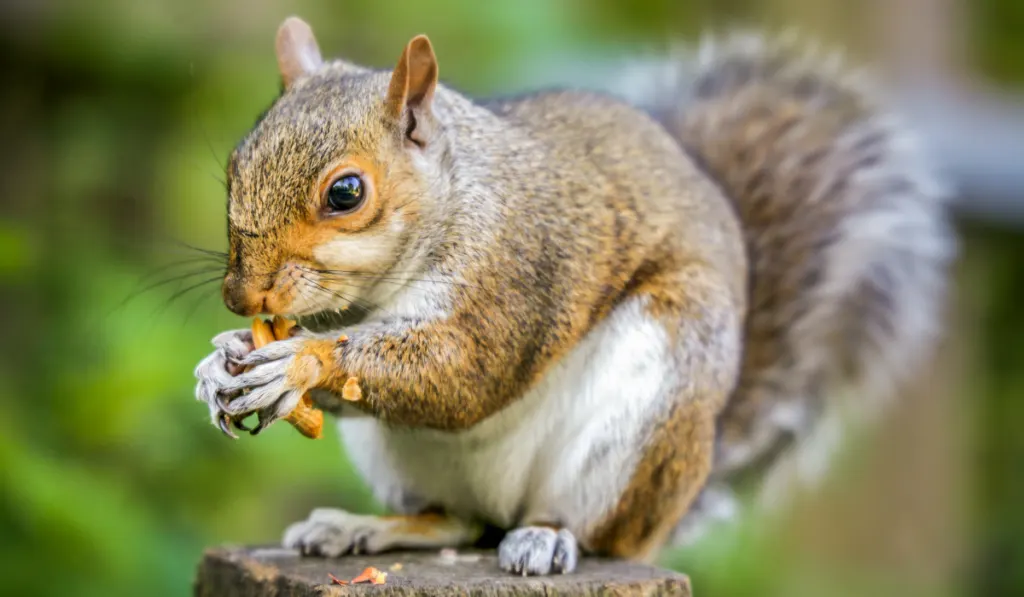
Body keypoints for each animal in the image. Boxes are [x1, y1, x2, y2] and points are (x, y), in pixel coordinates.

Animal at [193, 16, 958, 577]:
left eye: (347, 193)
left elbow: (463, 371)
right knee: (457, 519)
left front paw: (300, 362)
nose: (240, 295)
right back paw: (364, 526)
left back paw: (548, 537)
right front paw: (220, 362)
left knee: (594, 530)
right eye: (235, 162)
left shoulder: (518, 268)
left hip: (651, 404)